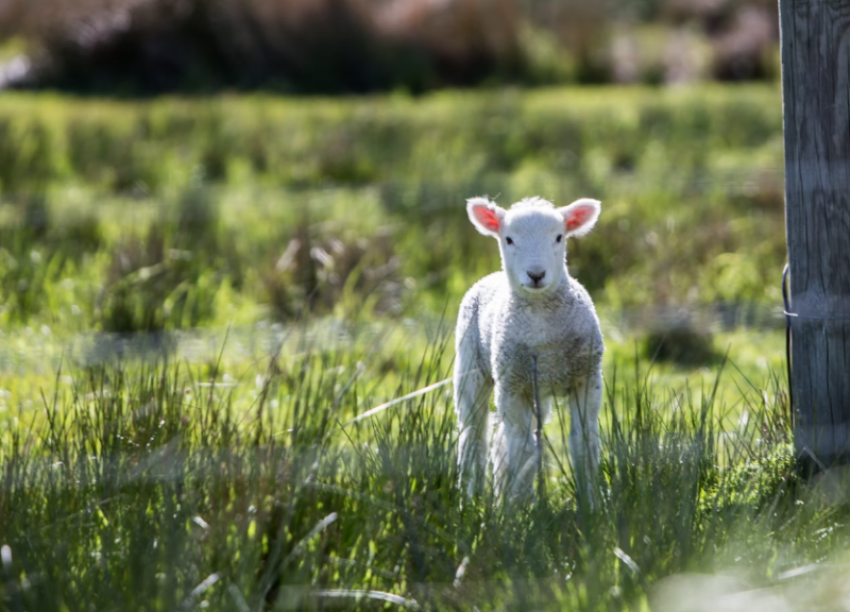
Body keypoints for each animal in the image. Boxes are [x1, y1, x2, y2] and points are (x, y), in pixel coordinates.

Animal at [450, 194, 604, 500]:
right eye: (508, 239)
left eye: (559, 237)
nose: (536, 274)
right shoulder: (512, 386)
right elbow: (522, 452)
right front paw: (518, 508)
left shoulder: (586, 378)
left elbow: (584, 445)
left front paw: (591, 503)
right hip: (471, 366)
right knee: (474, 436)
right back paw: (471, 498)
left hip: (536, 388)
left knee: (502, 440)